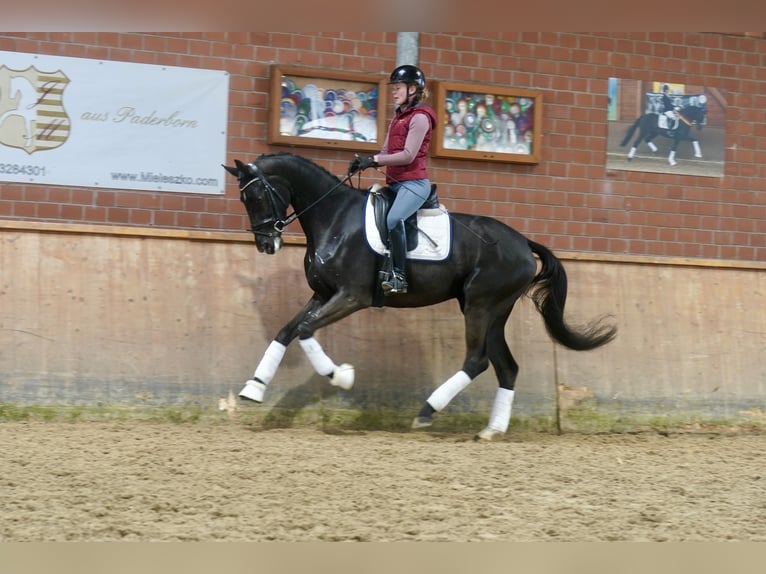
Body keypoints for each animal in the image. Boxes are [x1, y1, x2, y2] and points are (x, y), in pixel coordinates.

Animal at [224, 153, 616, 440]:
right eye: (243, 198)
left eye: (256, 195)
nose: (266, 244)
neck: (335, 218)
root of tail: (522, 242)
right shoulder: (323, 294)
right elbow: (287, 330)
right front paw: (254, 388)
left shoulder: (351, 296)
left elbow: (305, 330)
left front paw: (342, 376)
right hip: (493, 311)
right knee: (506, 366)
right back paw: (491, 430)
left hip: (480, 306)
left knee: (477, 361)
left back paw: (427, 412)